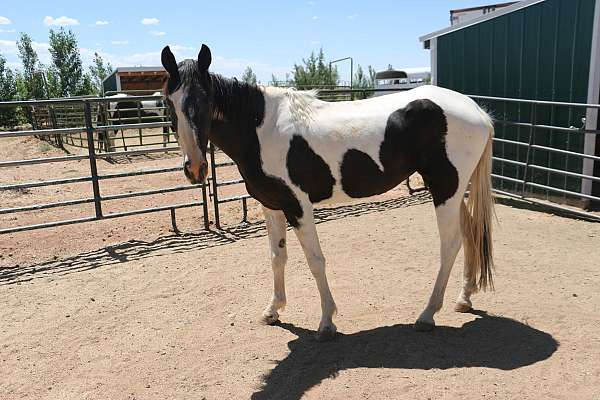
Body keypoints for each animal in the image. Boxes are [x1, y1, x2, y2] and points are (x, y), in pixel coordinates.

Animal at [162, 46, 494, 340]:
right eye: (169, 101)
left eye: (206, 99)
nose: (195, 168)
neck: (261, 128)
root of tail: (477, 111)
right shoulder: (272, 205)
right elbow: (277, 256)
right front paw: (273, 311)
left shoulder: (299, 206)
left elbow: (315, 261)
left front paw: (326, 323)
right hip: (454, 191)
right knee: (470, 233)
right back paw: (464, 299)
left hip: (445, 189)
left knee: (450, 244)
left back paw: (427, 315)